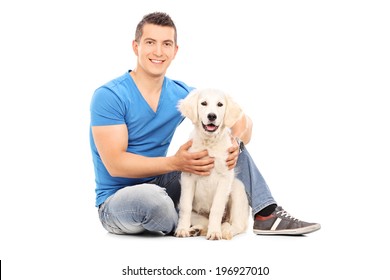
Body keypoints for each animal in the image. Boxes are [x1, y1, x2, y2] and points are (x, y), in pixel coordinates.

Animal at [174, 88, 248, 240]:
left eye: (220, 104)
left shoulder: (225, 177)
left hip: (237, 189)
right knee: (204, 223)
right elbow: (185, 207)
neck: (209, 144)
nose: (212, 116)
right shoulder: (188, 176)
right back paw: (194, 230)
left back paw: (225, 230)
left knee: (237, 225)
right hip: (197, 214)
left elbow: (216, 207)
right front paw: (182, 229)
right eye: (203, 103)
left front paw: (215, 232)